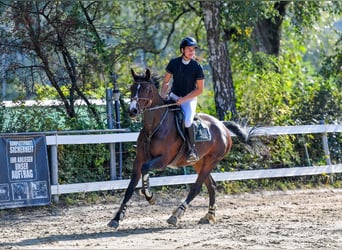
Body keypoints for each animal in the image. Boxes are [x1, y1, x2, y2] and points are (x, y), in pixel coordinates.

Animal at [107, 69, 254, 230]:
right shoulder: (139, 160)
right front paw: (116, 218)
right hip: (199, 163)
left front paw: (149, 196)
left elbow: (146, 169)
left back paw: (176, 215)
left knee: (196, 188)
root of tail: (222, 126)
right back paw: (209, 216)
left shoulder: (163, 160)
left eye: (146, 89)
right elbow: (129, 188)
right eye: (132, 88)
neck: (154, 126)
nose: (132, 111)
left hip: (211, 161)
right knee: (211, 186)